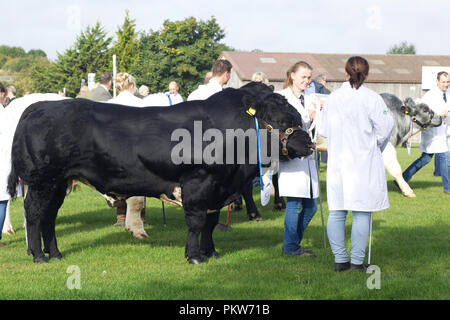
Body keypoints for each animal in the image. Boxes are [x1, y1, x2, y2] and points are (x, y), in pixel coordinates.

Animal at [8, 83, 314, 264]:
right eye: (281, 120)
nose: (310, 144)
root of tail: (43, 105)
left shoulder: (218, 189)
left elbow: (210, 223)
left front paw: (211, 252)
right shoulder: (198, 183)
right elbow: (196, 222)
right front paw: (195, 256)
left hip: (59, 182)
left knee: (49, 217)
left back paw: (56, 254)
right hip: (41, 182)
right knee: (34, 215)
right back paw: (39, 255)